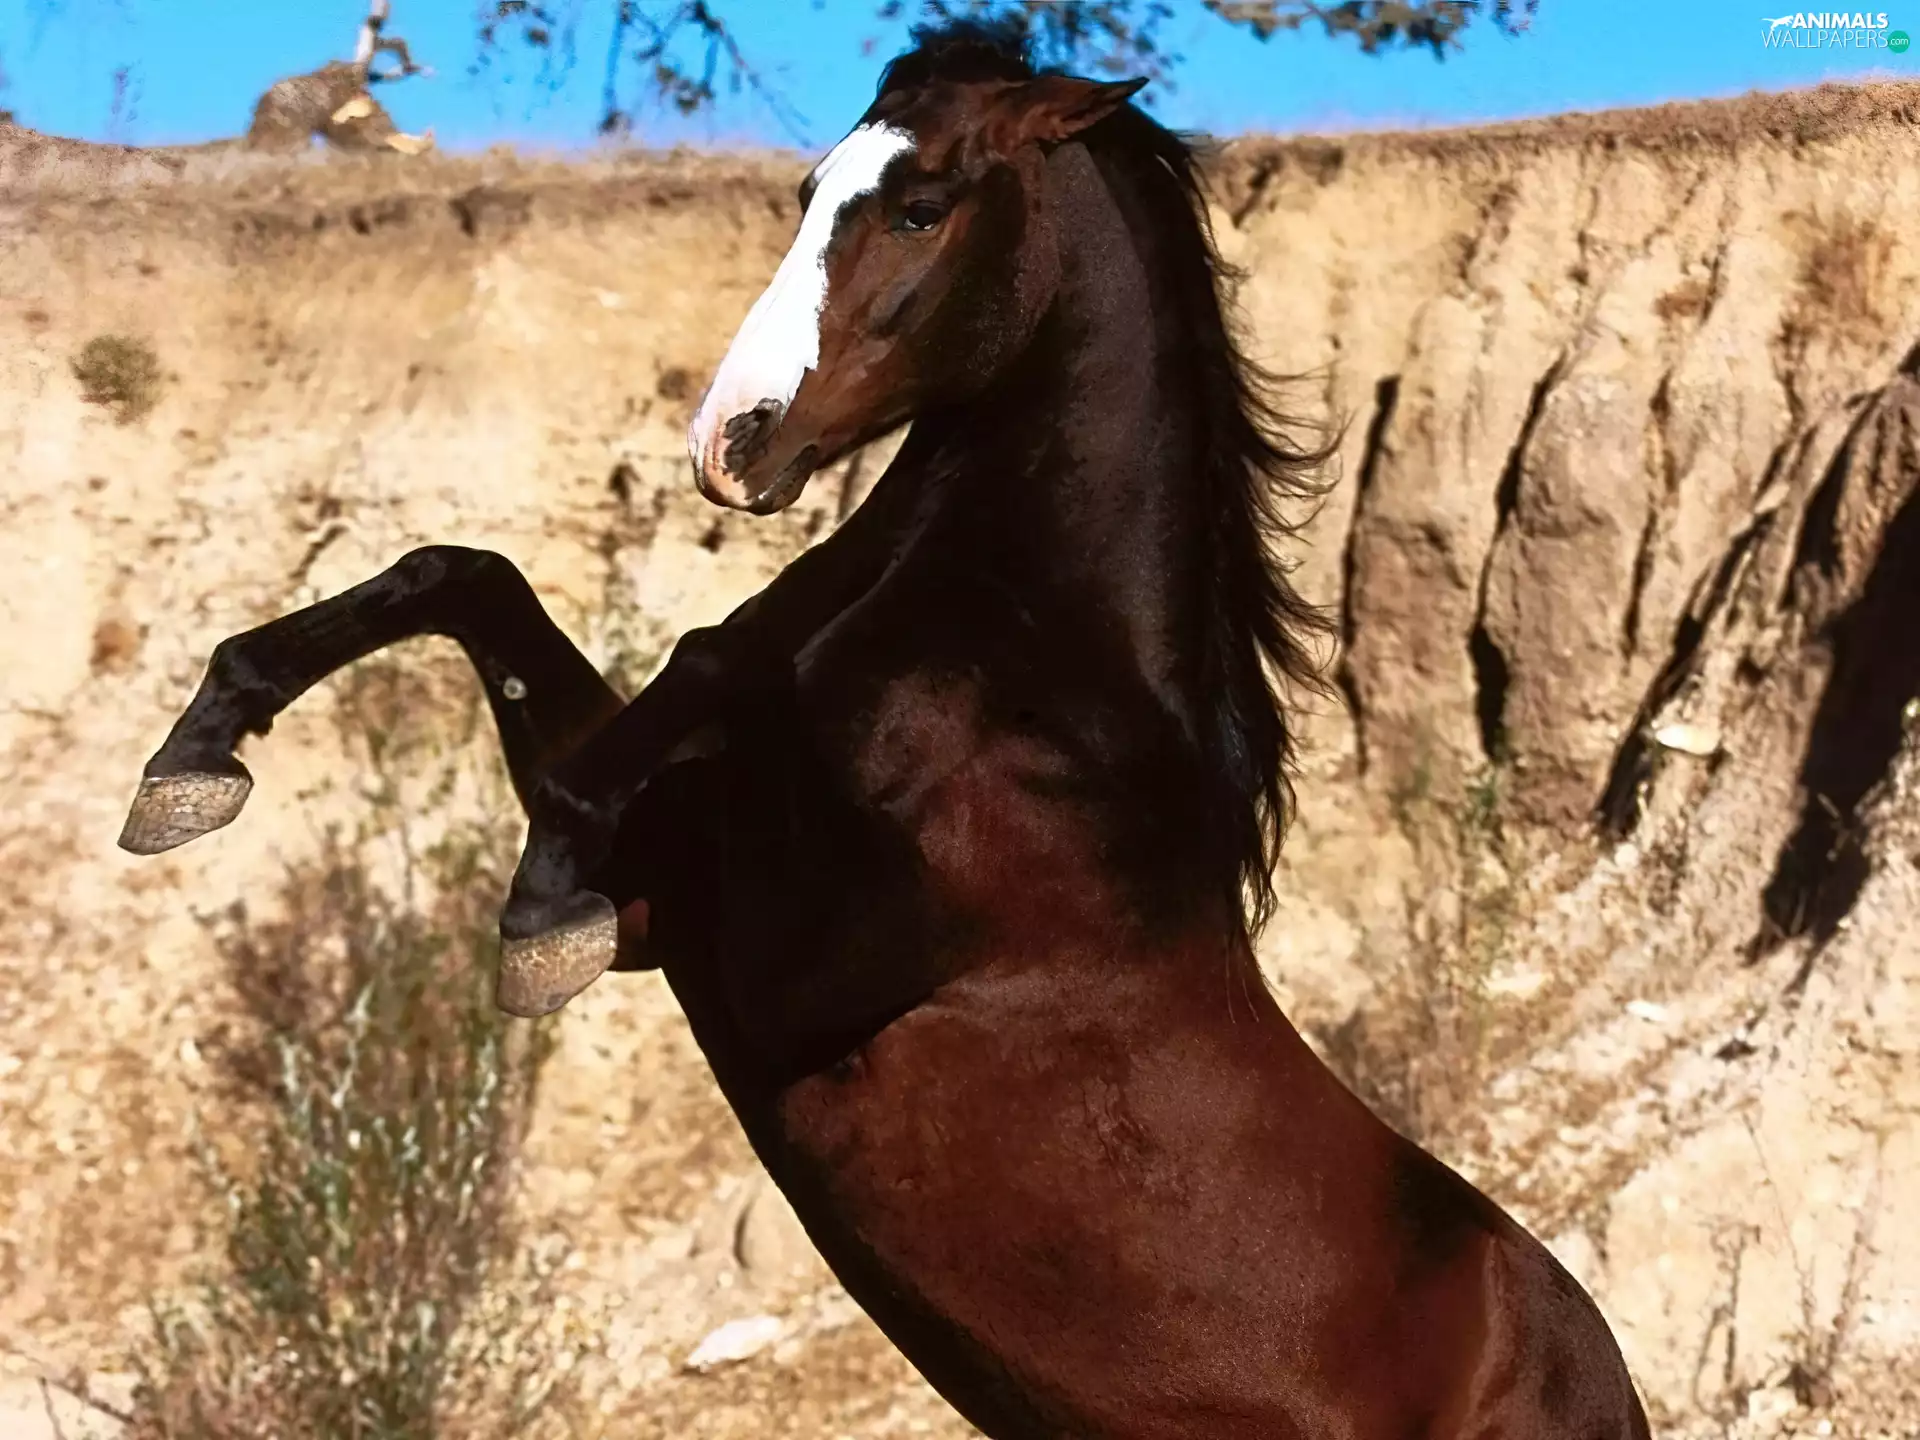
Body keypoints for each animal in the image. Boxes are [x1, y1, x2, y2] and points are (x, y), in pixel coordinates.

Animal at [119, 21, 1651, 1439]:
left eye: (922, 207)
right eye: (810, 189)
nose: (730, 443)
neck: (1045, 700)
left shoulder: (792, 952)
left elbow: (697, 673)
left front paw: (529, 913)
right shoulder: (662, 907)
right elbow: (470, 580)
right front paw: (195, 759)